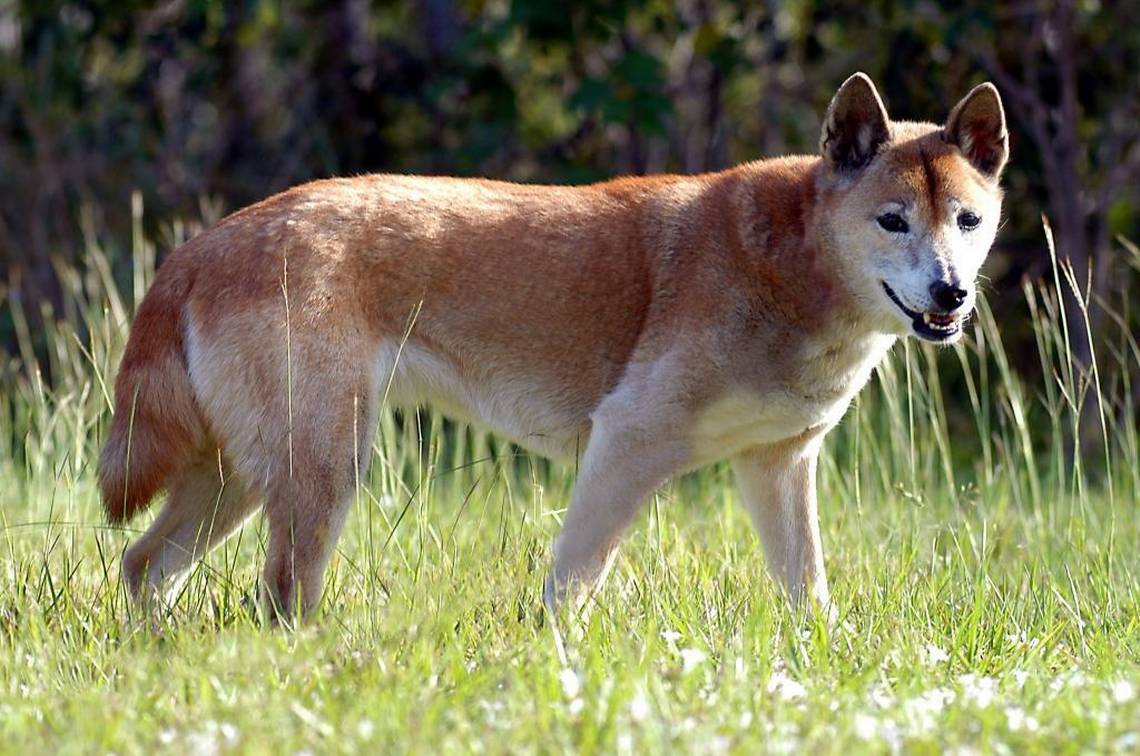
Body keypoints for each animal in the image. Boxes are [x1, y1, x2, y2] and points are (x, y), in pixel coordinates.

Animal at [98, 72, 1007, 620]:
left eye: (968, 220)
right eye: (891, 220)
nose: (951, 294)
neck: (790, 265)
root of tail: (197, 249)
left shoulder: (778, 464)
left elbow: (807, 592)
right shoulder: (629, 442)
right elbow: (571, 584)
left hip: (239, 475)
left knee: (144, 565)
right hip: (319, 469)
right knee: (279, 595)